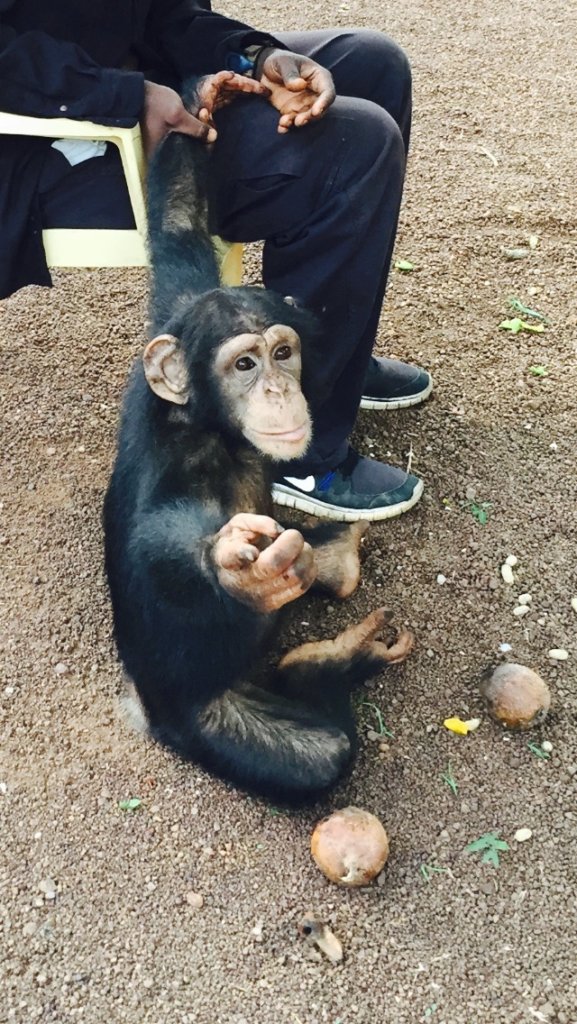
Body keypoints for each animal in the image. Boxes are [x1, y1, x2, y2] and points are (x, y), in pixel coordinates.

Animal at [103, 73, 413, 804]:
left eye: (281, 353)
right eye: (243, 365)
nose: (275, 388)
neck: (212, 430)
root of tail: (144, 711)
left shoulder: (179, 301)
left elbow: (179, 227)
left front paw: (204, 105)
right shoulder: (177, 497)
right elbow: (179, 553)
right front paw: (238, 570)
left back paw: (336, 591)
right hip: (207, 724)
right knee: (319, 754)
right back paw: (331, 667)